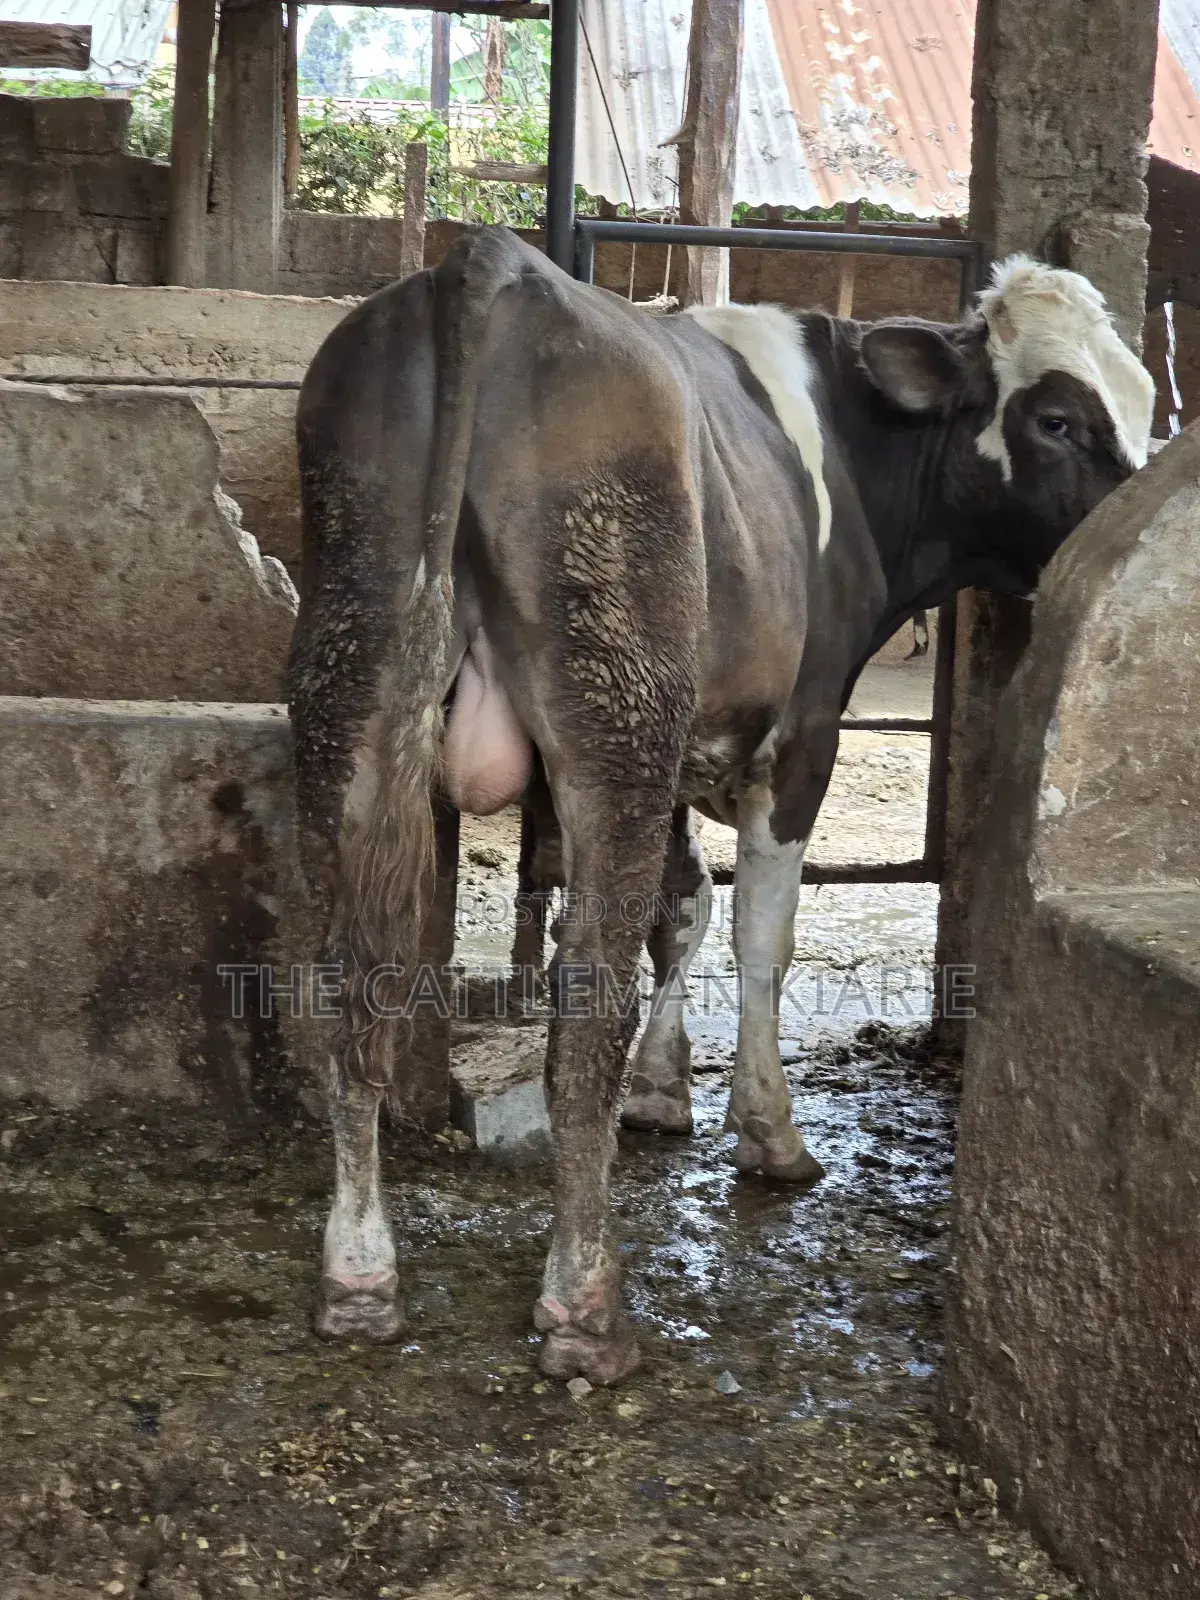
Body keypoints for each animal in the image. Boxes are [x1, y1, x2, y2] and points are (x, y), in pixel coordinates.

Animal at [286, 227, 1154, 1385]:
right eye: (1056, 418)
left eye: (1145, 403)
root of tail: (493, 265)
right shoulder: (802, 732)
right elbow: (757, 933)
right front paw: (768, 1132)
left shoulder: (686, 747)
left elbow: (684, 905)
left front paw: (663, 1092)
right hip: (612, 713)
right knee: (581, 997)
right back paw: (584, 1307)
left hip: (355, 682)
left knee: (352, 981)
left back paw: (359, 1274)